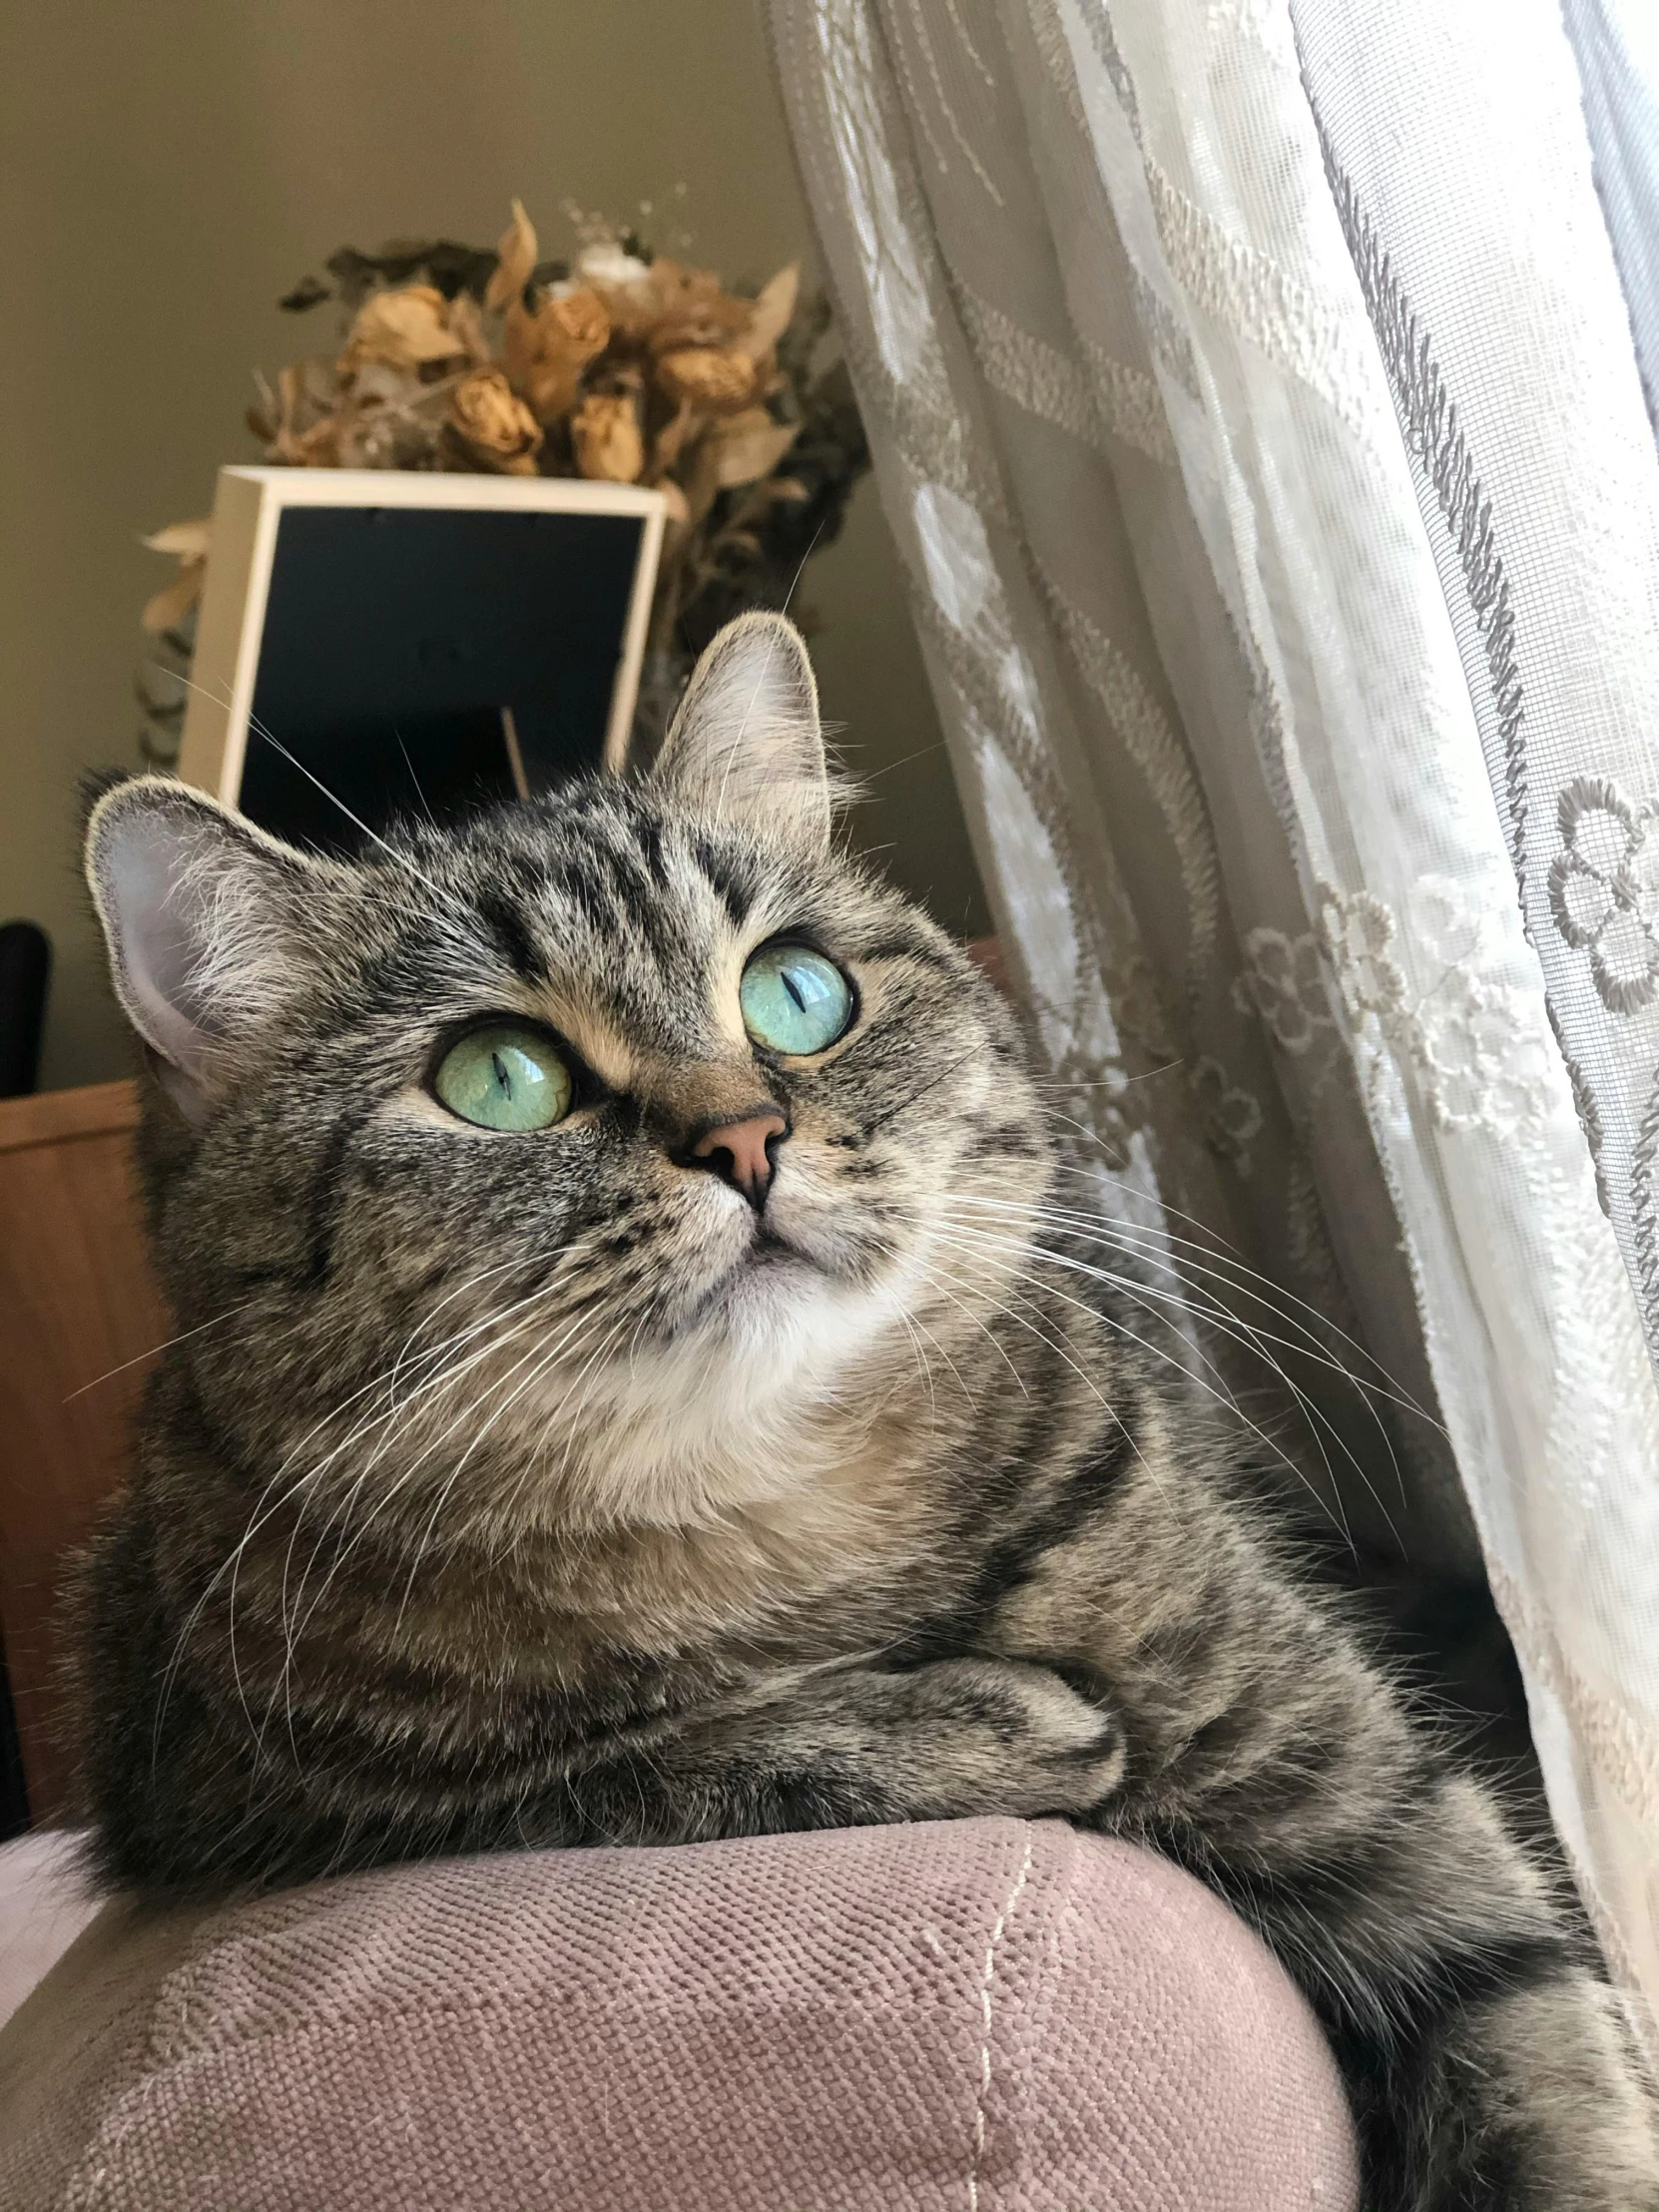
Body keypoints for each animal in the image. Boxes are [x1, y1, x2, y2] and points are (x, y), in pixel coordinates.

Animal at [74, 615, 1659, 2203]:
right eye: (497, 1076)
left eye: (796, 990)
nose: (743, 1136)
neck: (773, 1514)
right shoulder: (235, 1797)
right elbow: (625, 1770)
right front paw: (999, 1722)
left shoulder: (1345, 1779)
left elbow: (1545, 2057)